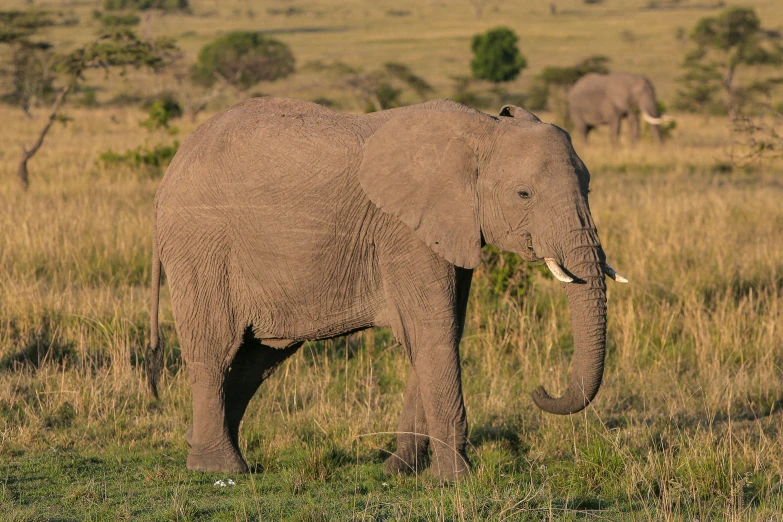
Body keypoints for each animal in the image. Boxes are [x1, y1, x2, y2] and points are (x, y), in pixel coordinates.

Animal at [145, 96, 624, 480]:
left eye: (589, 187)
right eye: (524, 194)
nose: (540, 390)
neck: (481, 129)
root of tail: (168, 173)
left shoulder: (449, 226)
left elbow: (440, 332)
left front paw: (399, 470)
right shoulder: (404, 231)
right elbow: (433, 331)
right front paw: (454, 480)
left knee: (257, 359)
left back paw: (199, 445)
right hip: (201, 246)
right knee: (215, 349)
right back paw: (219, 468)